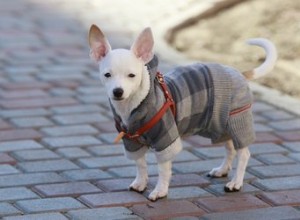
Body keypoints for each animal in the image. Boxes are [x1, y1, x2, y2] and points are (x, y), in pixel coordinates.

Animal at [87, 24, 276, 201]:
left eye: (132, 75)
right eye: (107, 75)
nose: (118, 91)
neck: (133, 107)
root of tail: (240, 73)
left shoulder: (165, 139)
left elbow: (163, 170)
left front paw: (160, 191)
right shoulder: (132, 141)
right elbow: (140, 164)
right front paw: (140, 183)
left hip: (237, 121)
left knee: (243, 153)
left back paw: (236, 182)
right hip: (221, 125)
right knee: (230, 148)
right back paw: (222, 170)